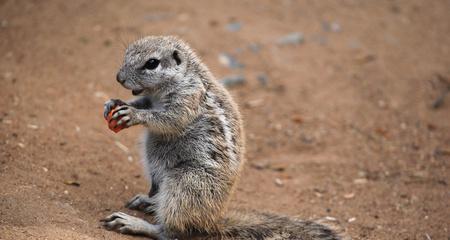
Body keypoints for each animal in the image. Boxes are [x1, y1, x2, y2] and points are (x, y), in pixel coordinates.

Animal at [102, 36, 348, 240]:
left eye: (152, 63)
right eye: (127, 53)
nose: (119, 78)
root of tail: (212, 221)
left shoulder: (189, 99)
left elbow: (169, 119)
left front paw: (134, 114)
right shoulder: (150, 98)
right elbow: (142, 103)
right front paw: (115, 103)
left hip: (186, 184)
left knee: (172, 232)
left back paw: (137, 223)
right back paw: (148, 201)